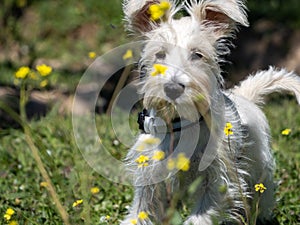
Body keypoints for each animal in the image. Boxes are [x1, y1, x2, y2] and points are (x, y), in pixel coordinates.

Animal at [119, 0, 300, 224]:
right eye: (159, 54)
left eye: (197, 54)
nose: (173, 88)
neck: (181, 125)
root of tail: (244, 96)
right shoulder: (151, 179)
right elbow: (140, 211)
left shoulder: (217, 181)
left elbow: (201, 215)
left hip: (259, 169)